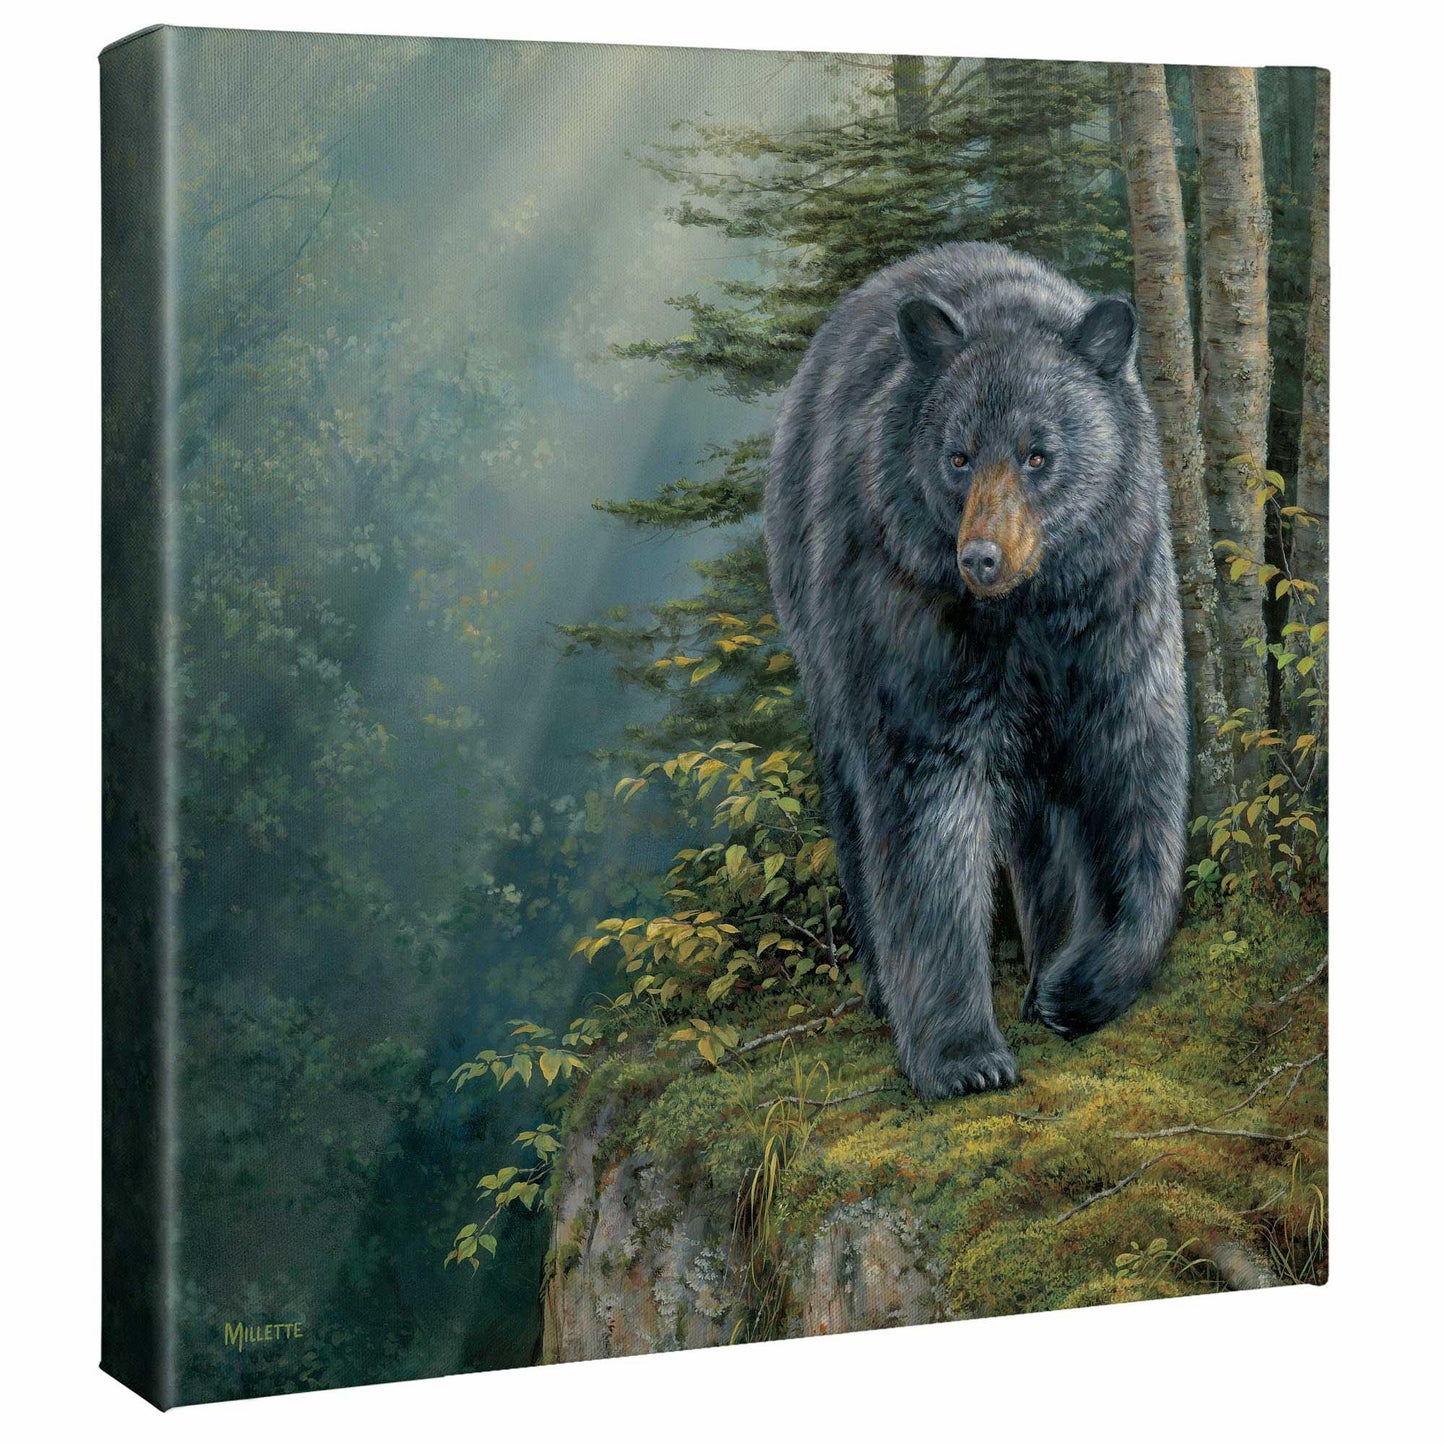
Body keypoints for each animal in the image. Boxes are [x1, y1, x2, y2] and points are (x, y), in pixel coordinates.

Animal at [764, 242, 1189, 1101]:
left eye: (1039, 453)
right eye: (957, 456)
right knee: (852, 804)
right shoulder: (909, 621)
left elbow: (1136, 775)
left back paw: (1041, 962)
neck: (1023, 615)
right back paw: (880, 984)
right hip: (820, 640)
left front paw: (1076, 987)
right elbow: (925, 810)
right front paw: (964, 1058)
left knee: (1041, 823)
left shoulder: (1114, 609)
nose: (980, 557)